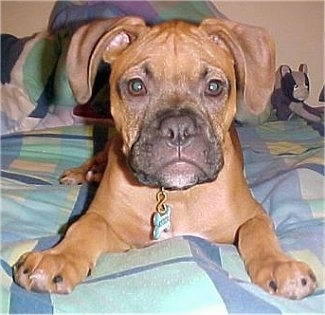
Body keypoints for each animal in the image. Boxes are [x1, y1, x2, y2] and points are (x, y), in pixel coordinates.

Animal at [13, 16, 316, 298]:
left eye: (214, 87)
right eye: (136, 87)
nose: (179, 129)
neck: (174, 196)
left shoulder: (253, 215)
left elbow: (257, 230)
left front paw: (279, 264)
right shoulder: (121, 237)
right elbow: (87, 224)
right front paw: (58, 257)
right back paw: (84, 172)